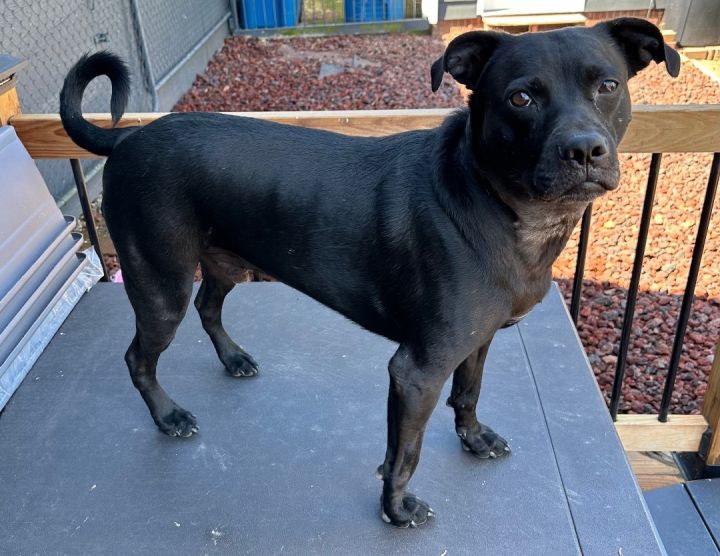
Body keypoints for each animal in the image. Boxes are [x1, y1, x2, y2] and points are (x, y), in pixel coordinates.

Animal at [59, 19, 676, 528]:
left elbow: (469, 393)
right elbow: (404, 454)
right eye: (520, 97)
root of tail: (129, 135)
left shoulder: (476, 342)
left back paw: (233, 359)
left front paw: (474, 439)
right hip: (160, 284)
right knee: (139, 358)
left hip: (223, 262)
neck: (494, 204)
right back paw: (168, 416)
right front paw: (396, 509)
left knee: (210, 307)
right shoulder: (416, 371)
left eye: (608, 86)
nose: (585, 150)